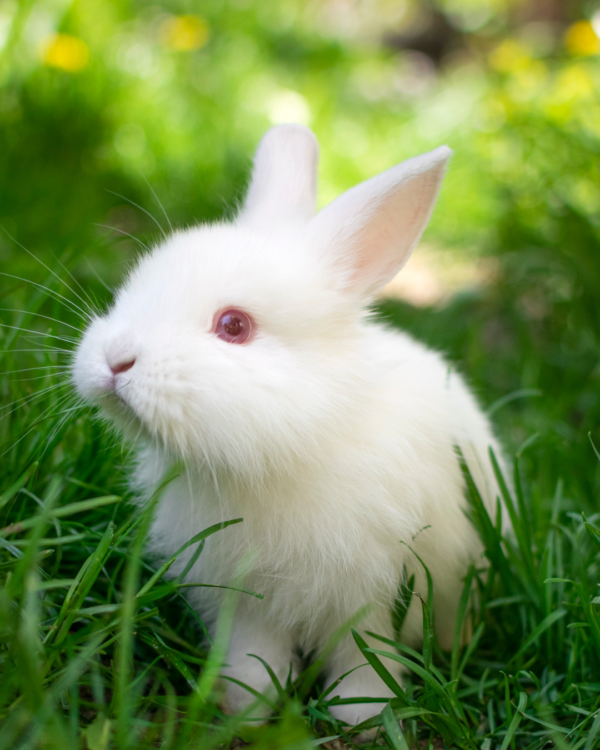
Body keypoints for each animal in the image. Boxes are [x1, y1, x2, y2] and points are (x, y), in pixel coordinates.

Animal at [72, 124, 505, 727]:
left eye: (234, 325)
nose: (114, 362)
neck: (286, 450)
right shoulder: (244, 597)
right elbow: (255, 654)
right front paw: (245, 706)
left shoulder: (371, 596)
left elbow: (365, 657)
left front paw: (363, 717)